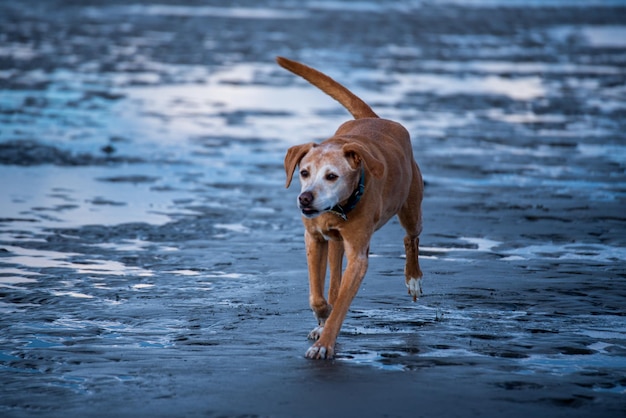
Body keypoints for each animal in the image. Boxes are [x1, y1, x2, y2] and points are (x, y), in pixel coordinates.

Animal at [278, 56, 424, 360]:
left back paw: (414, 279)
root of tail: (377, 119)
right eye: (304, 172)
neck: (338, 209)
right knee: (333, 281)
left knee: (411, 237)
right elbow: (317, 295)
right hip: (336, 244)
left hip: (411, 209)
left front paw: (324, 344)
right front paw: (322, 317)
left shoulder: (358, 256)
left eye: (332, 176)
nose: (305, 198)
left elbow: (342, 304)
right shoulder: (314, 238)